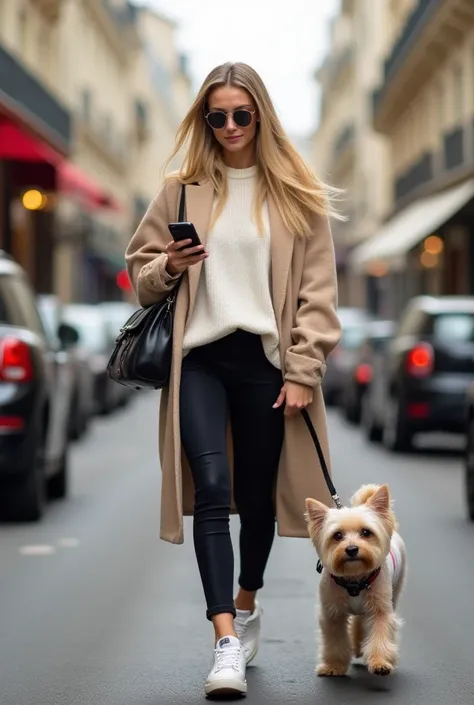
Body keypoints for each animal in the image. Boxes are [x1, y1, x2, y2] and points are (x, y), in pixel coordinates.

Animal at [306, 484, 406, 676]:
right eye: (337, 535)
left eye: (366, 532)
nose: (352, 549)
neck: (354, 580)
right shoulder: (332, 614)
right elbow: (335, 642)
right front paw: (334, 666)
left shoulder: (380, 611)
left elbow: (380, 636)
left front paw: (380, 663)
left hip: (394, 592)